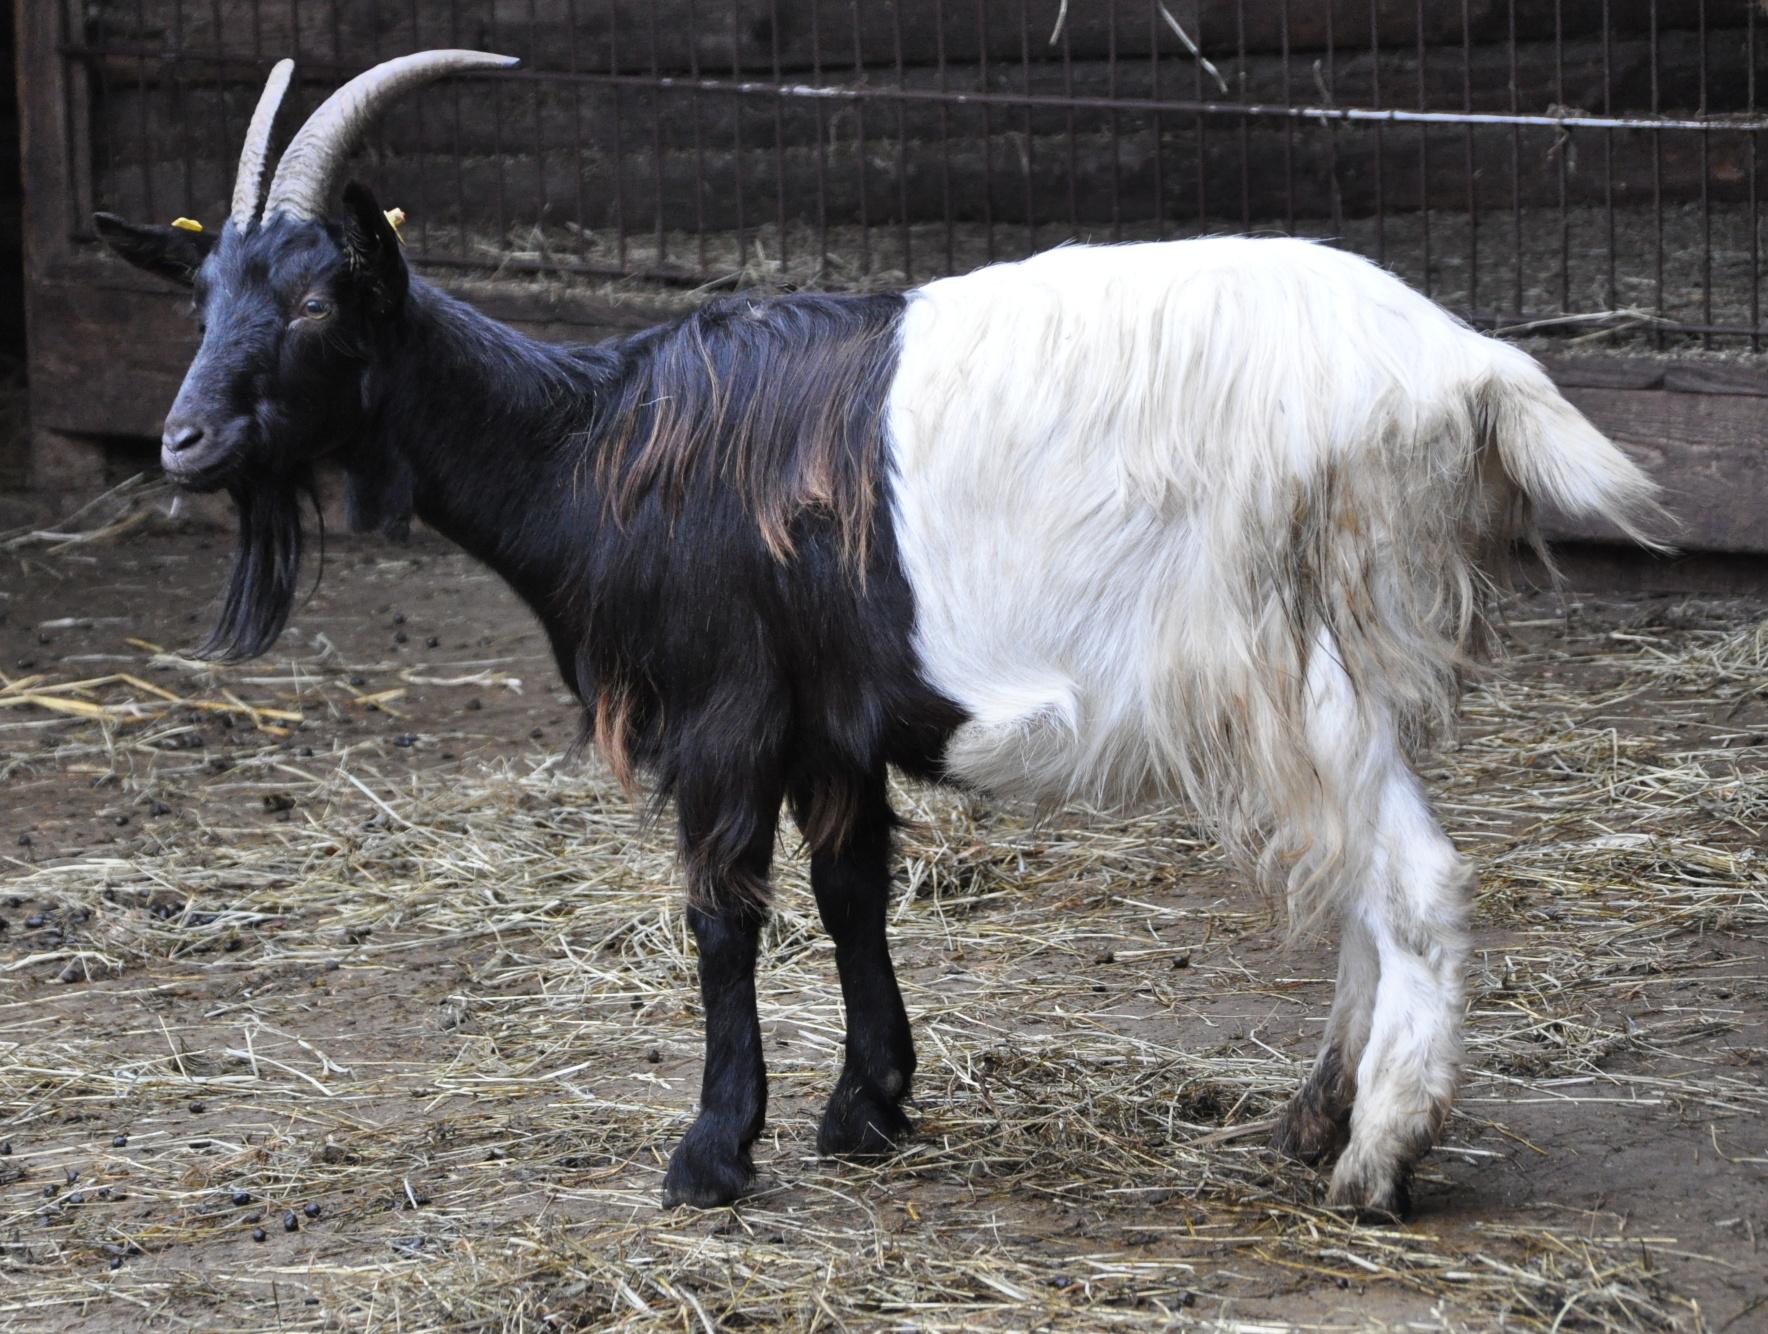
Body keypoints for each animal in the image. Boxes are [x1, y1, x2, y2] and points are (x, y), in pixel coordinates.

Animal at [96, 51, 1662, 1217]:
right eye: (206, 294)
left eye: (317, 298)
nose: (181, 441)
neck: (594, 446)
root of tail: (1473, 372)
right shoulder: (829, 717)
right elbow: (853, 889)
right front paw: (868, 1105)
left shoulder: (727, 708)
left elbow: (722, 913)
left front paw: (710, 1155)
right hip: (1344, 659)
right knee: (1360, 877)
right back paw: (1313, 1117)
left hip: (1285, 647)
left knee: (1411, 878)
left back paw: (1376, 1161)